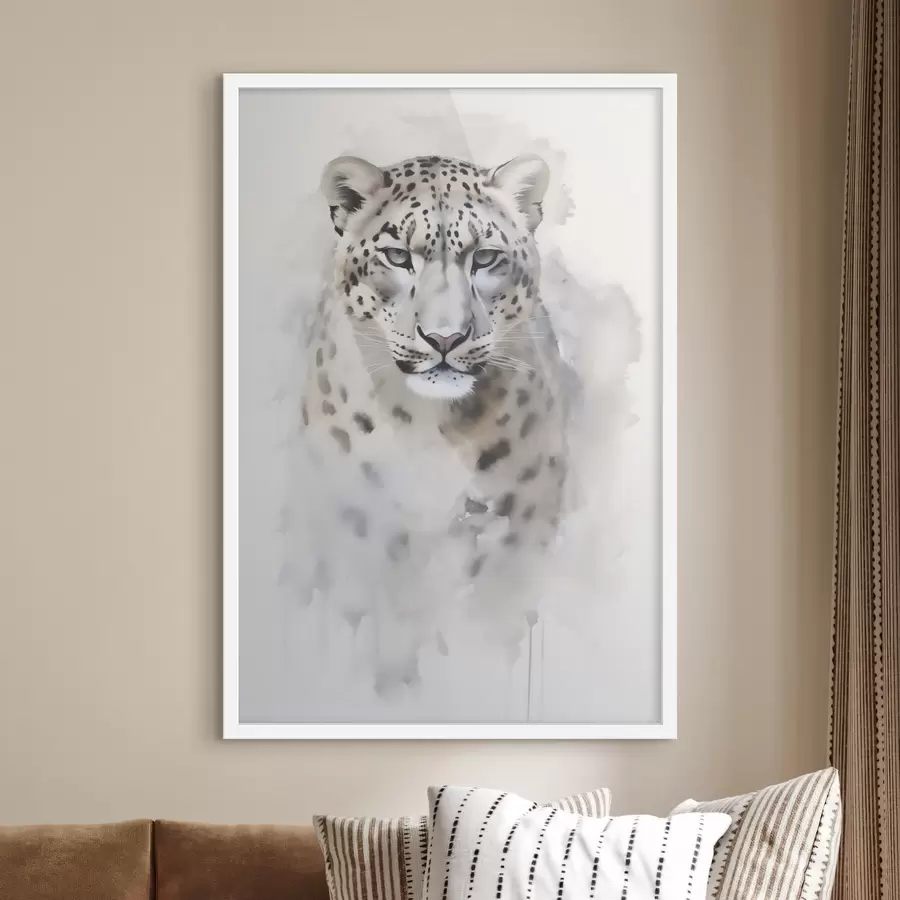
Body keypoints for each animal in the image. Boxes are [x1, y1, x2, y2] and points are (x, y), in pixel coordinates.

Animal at [295, 152, 574, 694]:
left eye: (484, 258)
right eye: (397, 255)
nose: (445, 337)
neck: (426, 424)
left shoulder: (523, 507)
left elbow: (495, 605)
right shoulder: (350, 510)